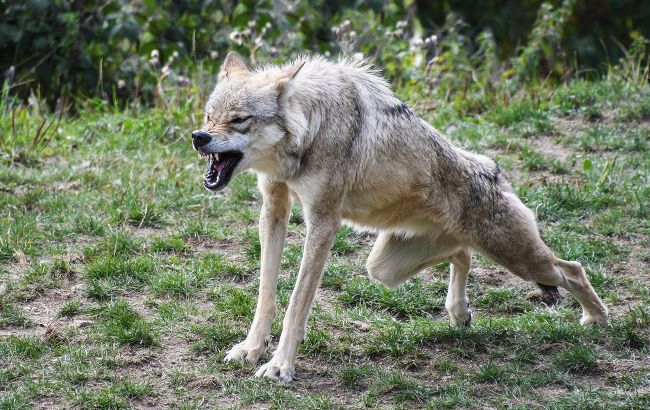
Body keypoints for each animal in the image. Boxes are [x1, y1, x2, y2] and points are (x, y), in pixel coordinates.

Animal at [190, 52, 604, 382]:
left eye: (239, 119)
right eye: (209, 116)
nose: (198, 137)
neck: (310, 128)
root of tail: (493, 169)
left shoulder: (323, 220)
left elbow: (296, 303)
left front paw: (280, 366)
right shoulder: (273, 208)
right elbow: (267, 294)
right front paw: (251, 349)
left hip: (521, 260)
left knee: (573, 269)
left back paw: (597, 321)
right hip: (384, 268)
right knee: (462, 254)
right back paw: (459, 313)